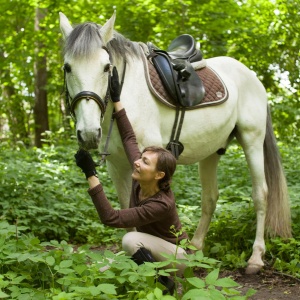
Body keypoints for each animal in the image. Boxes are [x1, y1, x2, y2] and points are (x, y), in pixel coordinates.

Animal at [58, 11, 290, 274]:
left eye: (106, 67)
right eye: (67, 67)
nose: (88, 133)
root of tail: (251, 76)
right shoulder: (116, 166)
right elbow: (126, 210)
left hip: (252, 141)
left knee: (261, 194)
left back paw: (255, 258)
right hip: (212, 151)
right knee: (210, 197)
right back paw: (196, 250)